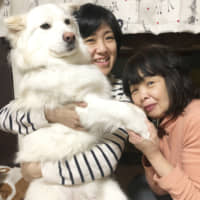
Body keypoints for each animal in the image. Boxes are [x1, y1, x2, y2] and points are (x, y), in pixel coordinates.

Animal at [3, 3, 149, 200]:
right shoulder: (82, 107)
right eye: (45, 26)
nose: (69, 36)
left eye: (67, 22)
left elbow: (122, 106)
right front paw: (144, 127)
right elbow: (124, 109)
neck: (63, 64)